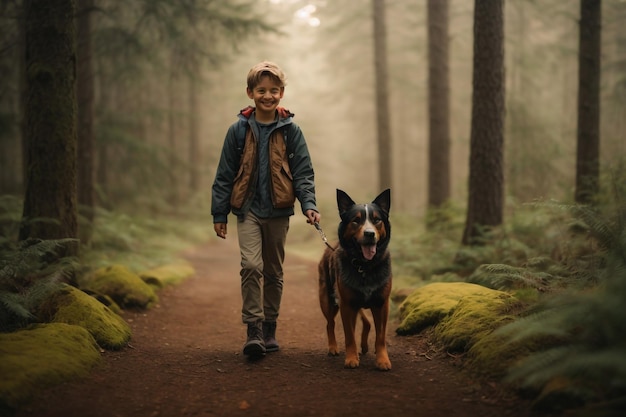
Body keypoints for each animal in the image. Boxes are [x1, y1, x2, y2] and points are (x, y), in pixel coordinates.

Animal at [316, 188, 390, 370]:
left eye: (377, 220)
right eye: (356, 221)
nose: (369, 234)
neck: (364, 266)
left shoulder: (381, 304)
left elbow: (381, 336)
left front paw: (382, 360)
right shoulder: (347, 304)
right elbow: (349, 335)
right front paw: (351, 358)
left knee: (365, 323)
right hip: (327, 299)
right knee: (330, 323)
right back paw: (333, 347)